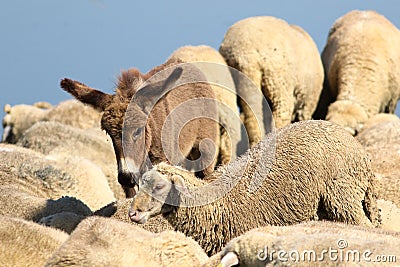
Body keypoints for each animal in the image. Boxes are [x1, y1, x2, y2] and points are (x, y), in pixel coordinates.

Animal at [130, 120, 380, 256]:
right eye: (141, 185)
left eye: (159, 186)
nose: (133, 213)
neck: (218, 203)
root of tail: (361, 153)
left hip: (342, 196)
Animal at [219, 15, 324, 146]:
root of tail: (248, 54)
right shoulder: (307, 104)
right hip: (278, 81)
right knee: (281, 114)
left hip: (246, 80)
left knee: (252, 116)